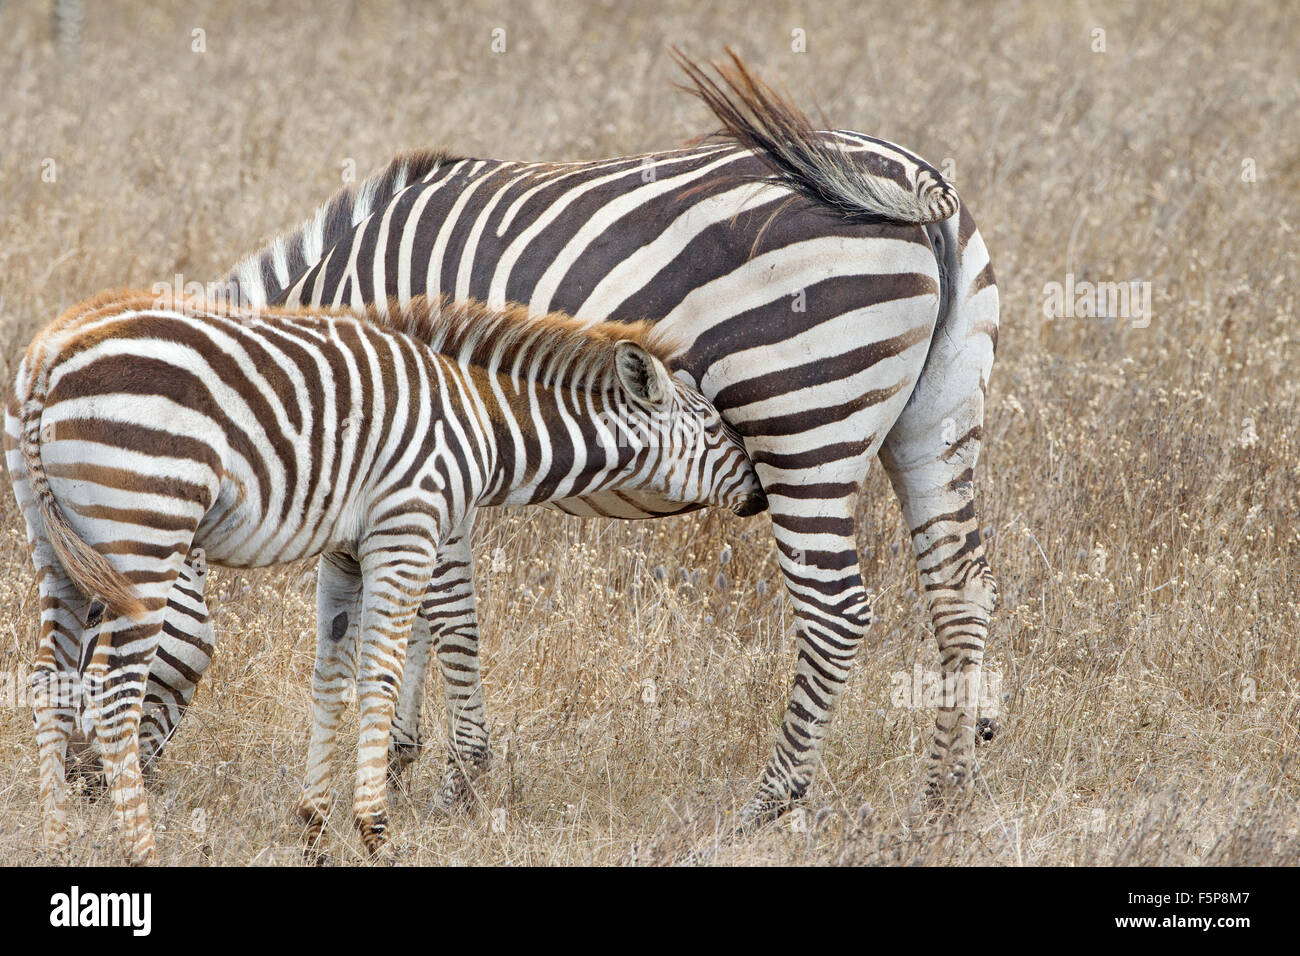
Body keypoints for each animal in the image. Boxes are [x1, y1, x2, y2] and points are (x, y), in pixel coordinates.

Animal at [6, 290, 765, 863]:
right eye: (712, 428)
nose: (762, 491)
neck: (481, 422)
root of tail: (48, 359)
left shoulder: (345, 551)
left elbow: (330, 679)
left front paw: (313, 830)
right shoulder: (408, 528)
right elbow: (379, 676)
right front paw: (375, 833)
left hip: (56, 547)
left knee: (49, 684)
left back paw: (58, 844)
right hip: (146, 533)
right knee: (112, 697)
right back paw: (141, 850)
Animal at [129, 50, 1001, 826]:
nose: (99, 790)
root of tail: (923, 195)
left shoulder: (421, 446)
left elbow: (446, 613)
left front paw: (462, 783)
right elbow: (415, 613)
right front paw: (406, 763)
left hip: (800, 414)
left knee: (836, 610)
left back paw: (768, 804)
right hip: (940, 421)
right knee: (962, 589)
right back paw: (946, 799)